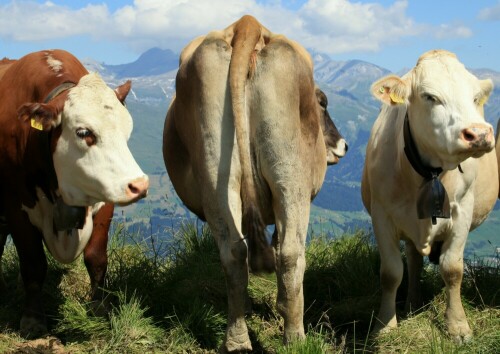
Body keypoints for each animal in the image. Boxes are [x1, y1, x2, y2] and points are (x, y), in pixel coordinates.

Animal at [0, 49, 148, 338]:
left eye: (127, 131)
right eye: (84, 132)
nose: (139, 185)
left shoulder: (104, 194)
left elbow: (96, 258)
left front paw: (100, 308)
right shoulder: (15, 205)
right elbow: (33, 263)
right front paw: (33, 318)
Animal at [162, 15, 346, 352]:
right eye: (322, 103)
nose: (343, 145)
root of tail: (247, 25)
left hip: (219, 178)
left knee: (236, 253)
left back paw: (237, 340)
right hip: (291, 179)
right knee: (289, 253)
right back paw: (294, 336)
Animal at [362, 49, 498, 342]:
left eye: (474, 97)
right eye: (430, 97)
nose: (479, 134)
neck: (429, 172)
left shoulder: (463, 211)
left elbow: (453, 269)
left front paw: (457, 326)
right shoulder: (382, 215)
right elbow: (391, 272)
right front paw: (385, 325)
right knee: (413, 260)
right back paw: (413, 301)